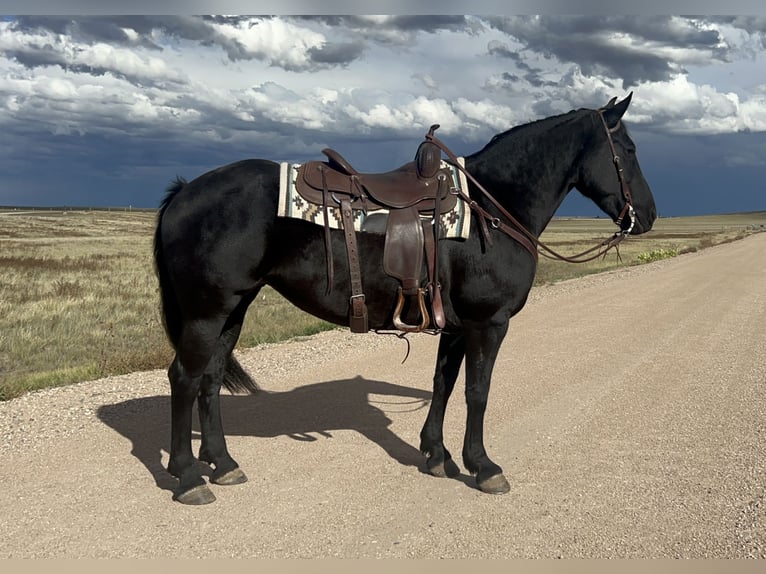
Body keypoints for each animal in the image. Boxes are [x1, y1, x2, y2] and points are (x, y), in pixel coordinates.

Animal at [153, 93, 657, 504]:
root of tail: (184, 191)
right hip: (206, 312)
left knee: (210, 379)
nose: (649, 215)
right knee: (185, 377)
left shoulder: (456, 327)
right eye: (629, 151)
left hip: (232, 310)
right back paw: (188, 477)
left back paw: (222, 463)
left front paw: (436, 454)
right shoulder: (488, 323)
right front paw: (483, 466)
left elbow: (443, 384)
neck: (493, 210)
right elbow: (477, 392)